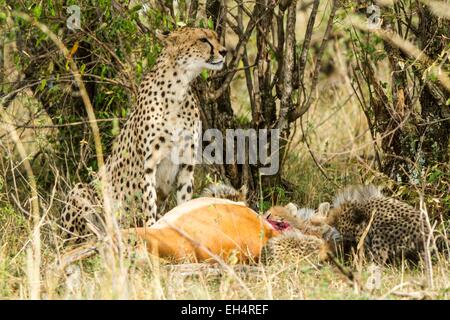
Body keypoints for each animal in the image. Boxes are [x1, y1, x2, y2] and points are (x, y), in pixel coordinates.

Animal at [59, 27, 227, 241]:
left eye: (215, 36)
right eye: (203, 39)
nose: (224, 51)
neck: (178, 89)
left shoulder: (186, 165)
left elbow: (184, 202)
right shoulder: (147, 166)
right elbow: (149, 204)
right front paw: (151, 230)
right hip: (81, 191)